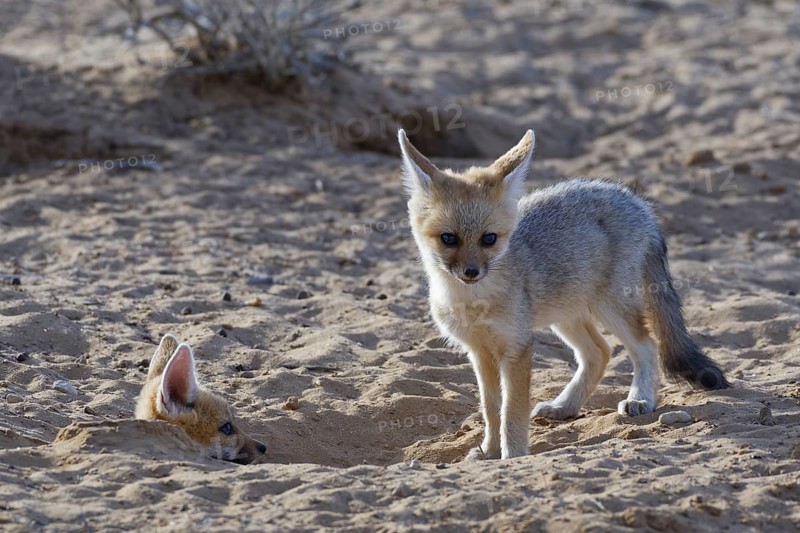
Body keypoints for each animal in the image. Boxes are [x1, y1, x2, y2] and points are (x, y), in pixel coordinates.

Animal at [397, 128, 729, 460]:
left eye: (488, 239)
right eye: (449, 238)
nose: (471, 272)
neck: (472, 302)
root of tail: (637, 202)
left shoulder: (517, 347)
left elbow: (511, 410)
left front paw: (513, 454)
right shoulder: (479, 352)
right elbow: (491, 409)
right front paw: (489, 451)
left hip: (609, 308)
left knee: (646, 345)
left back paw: (640, 399)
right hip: (566, 315)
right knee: (599, 353)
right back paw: (565, 406)